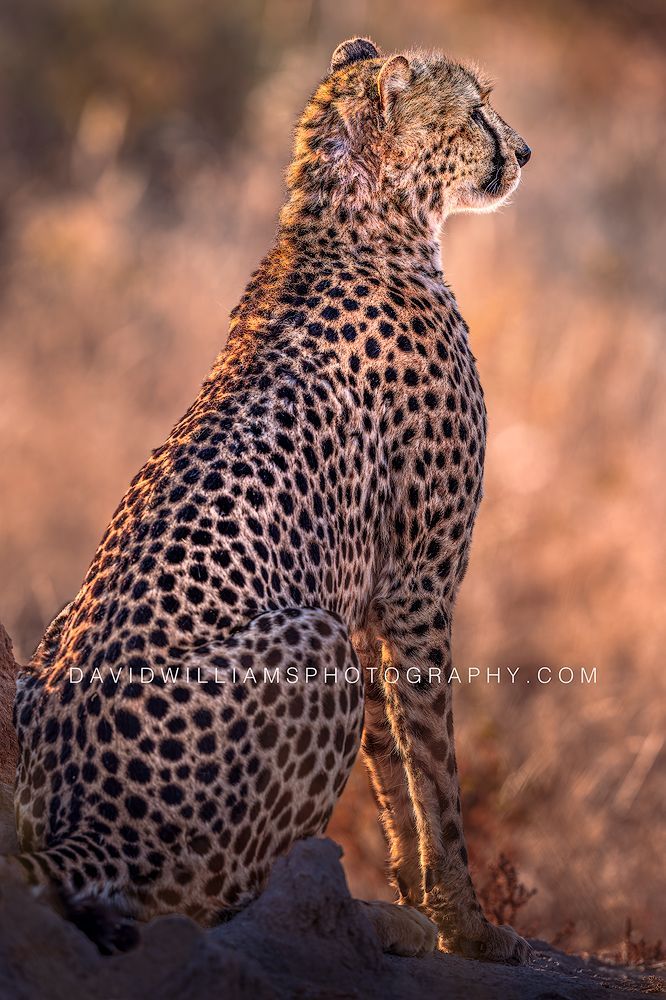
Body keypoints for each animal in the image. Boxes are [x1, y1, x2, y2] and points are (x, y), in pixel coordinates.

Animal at [5, 37, 532, 963]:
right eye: (475, 110)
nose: (527, 152)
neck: (362, 224)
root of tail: (71, 819)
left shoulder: (370, 593)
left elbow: (390, 763)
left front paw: (420, 896)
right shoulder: (420, 586)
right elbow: (435, 767)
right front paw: (466, 926)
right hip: (311, 643)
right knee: (194, 905)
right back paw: (361, 921)